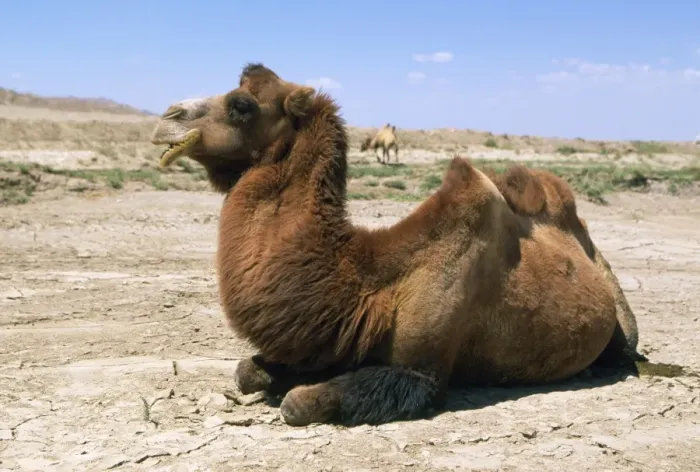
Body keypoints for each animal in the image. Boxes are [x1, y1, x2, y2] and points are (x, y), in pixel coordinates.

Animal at [150, 63, 637, 427]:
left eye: (241, 105)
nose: (167, 116)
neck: (370, 284)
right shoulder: (327, 345)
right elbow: (246, 372)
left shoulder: (420, 372)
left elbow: (297, 404)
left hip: (618, 306)